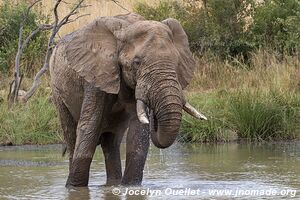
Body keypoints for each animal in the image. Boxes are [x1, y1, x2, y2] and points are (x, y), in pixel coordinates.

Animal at [49, 12, 206, 188]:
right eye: (137, 63)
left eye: (177, 62)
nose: (154, 116)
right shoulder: (97, 75)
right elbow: (89, 127)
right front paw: (74, 188)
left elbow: (138, 134)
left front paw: (130, 187)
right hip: (57, 90)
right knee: (71, 136)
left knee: (111, 142)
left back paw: (113, 185)